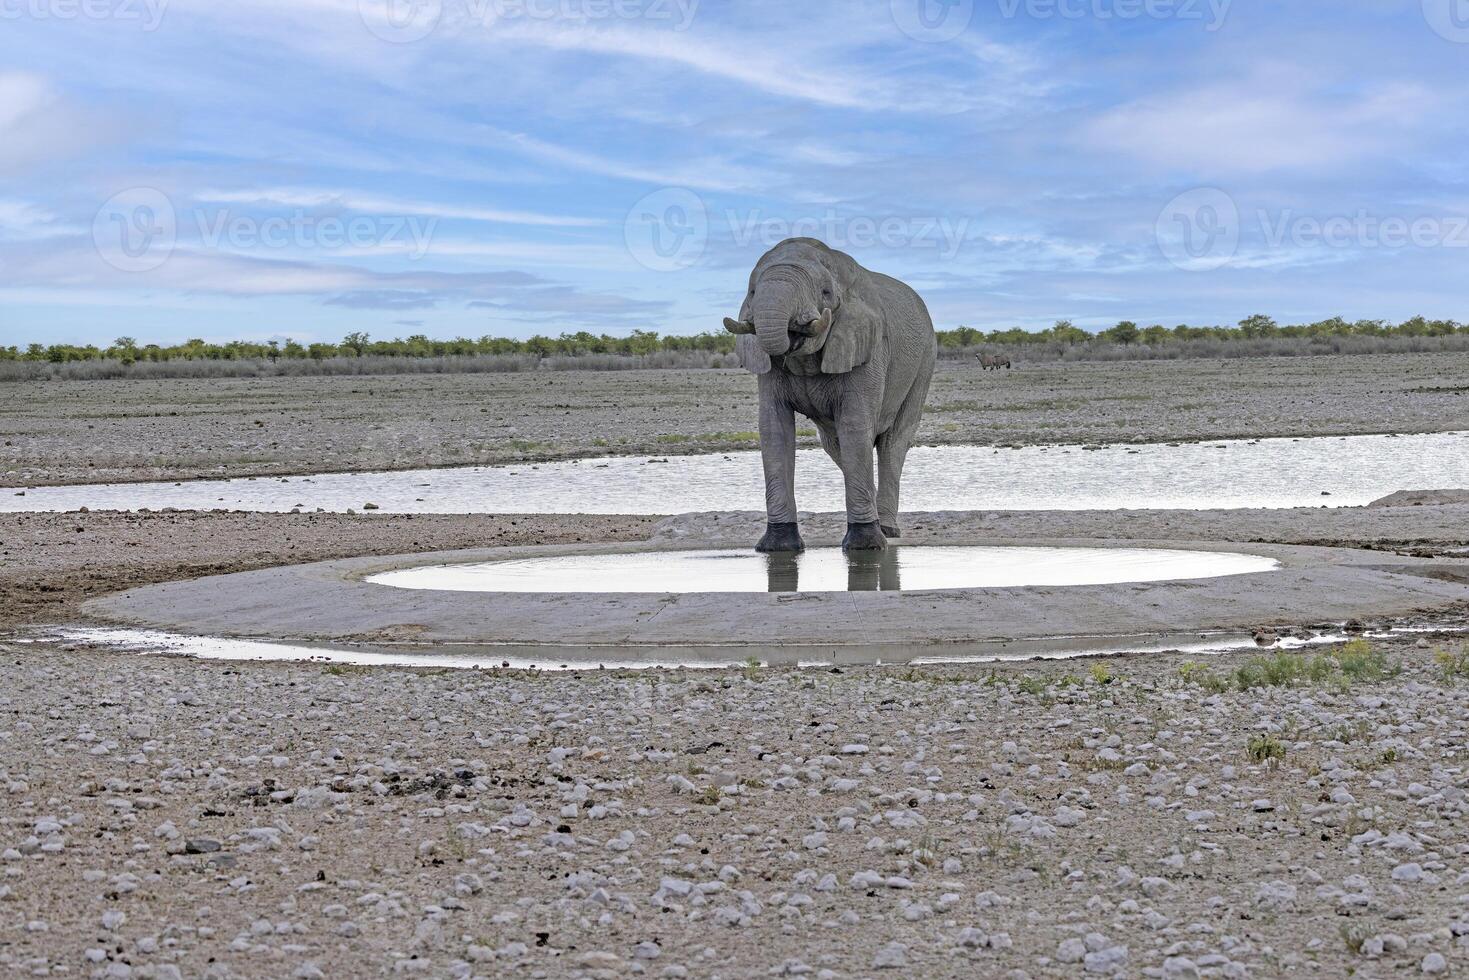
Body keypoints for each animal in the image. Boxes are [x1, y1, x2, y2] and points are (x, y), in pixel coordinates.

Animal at [725, 238, 940, 552]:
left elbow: (854, 423)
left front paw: (865, 546)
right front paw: (778, 546)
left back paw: (887, 530)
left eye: (825, 293)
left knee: (892, 443)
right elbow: (774, 428)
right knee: (836, 445)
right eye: (752, 292)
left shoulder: (867, 344)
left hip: (925, 362)